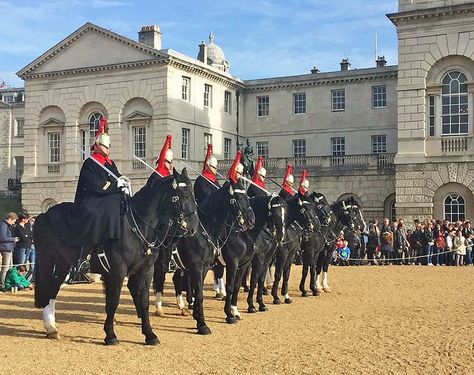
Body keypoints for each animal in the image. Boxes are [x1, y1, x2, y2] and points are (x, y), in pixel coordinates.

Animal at [33, 169, 196, 346]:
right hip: (48, 260)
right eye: (181, 195)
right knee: (48, 288)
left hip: (62, 263)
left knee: (52, 289)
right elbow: (113, 302)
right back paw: (50, 327)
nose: (193, 228)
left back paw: (52, 327)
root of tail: (43, 214)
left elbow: (144, 301)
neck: (138, 226)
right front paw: (110, 335)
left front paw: (149, 334)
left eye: (193, 194)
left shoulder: (145, 270)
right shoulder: (118, 271)